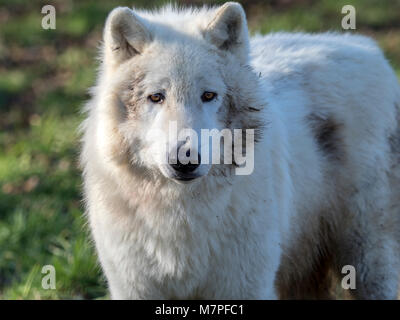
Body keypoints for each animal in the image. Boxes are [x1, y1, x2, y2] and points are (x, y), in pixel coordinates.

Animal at [81, 2, 400, 298]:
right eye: (156, 97)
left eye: (209, 95)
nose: (185, 160)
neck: (181, 214)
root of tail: (368, 47)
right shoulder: (134, 288)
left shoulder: (244, 287)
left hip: (367, 260)